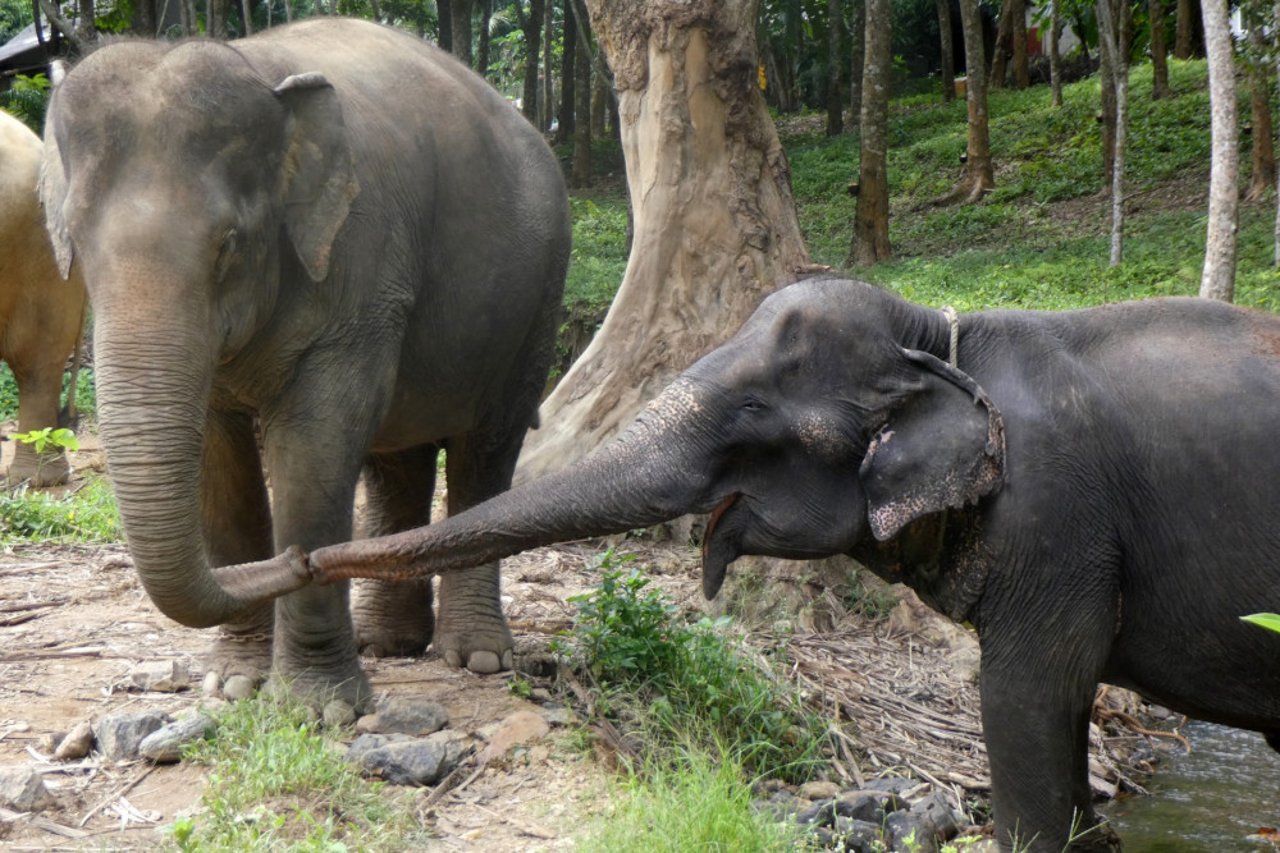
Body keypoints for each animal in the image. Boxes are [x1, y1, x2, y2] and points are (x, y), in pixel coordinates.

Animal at [40, 18, 570, 712]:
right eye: (75, 240)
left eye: (229, 245)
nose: (296, 561)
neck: (262, 72)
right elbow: (219, 460)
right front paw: (235, 684)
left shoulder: (360, 267)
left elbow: (317, 444)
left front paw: (322, 708)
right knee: (398, 462)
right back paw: (387, 644)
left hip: (537, 300)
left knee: (486, 450)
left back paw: (479, 658)